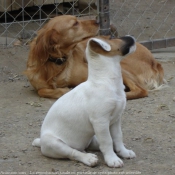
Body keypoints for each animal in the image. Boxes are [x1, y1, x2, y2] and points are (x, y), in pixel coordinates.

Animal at [25, 14, 165, 100]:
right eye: (75, 23)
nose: (97, 21)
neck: (56, 64)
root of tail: (155, 62)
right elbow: (42, 91)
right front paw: (62, 90)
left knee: (140, 90)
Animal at [32, 36, 137, 168]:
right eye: (112, 38)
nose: (131, 37)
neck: (106, 81)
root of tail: (41, 142)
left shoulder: (116, 119)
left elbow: (118, 137)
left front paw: (123, 152)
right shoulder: (100, 122)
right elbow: (107, 141)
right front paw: (112, 159)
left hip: (90, 137)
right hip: (54, 143)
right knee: (73, 153)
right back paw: (88, 158)